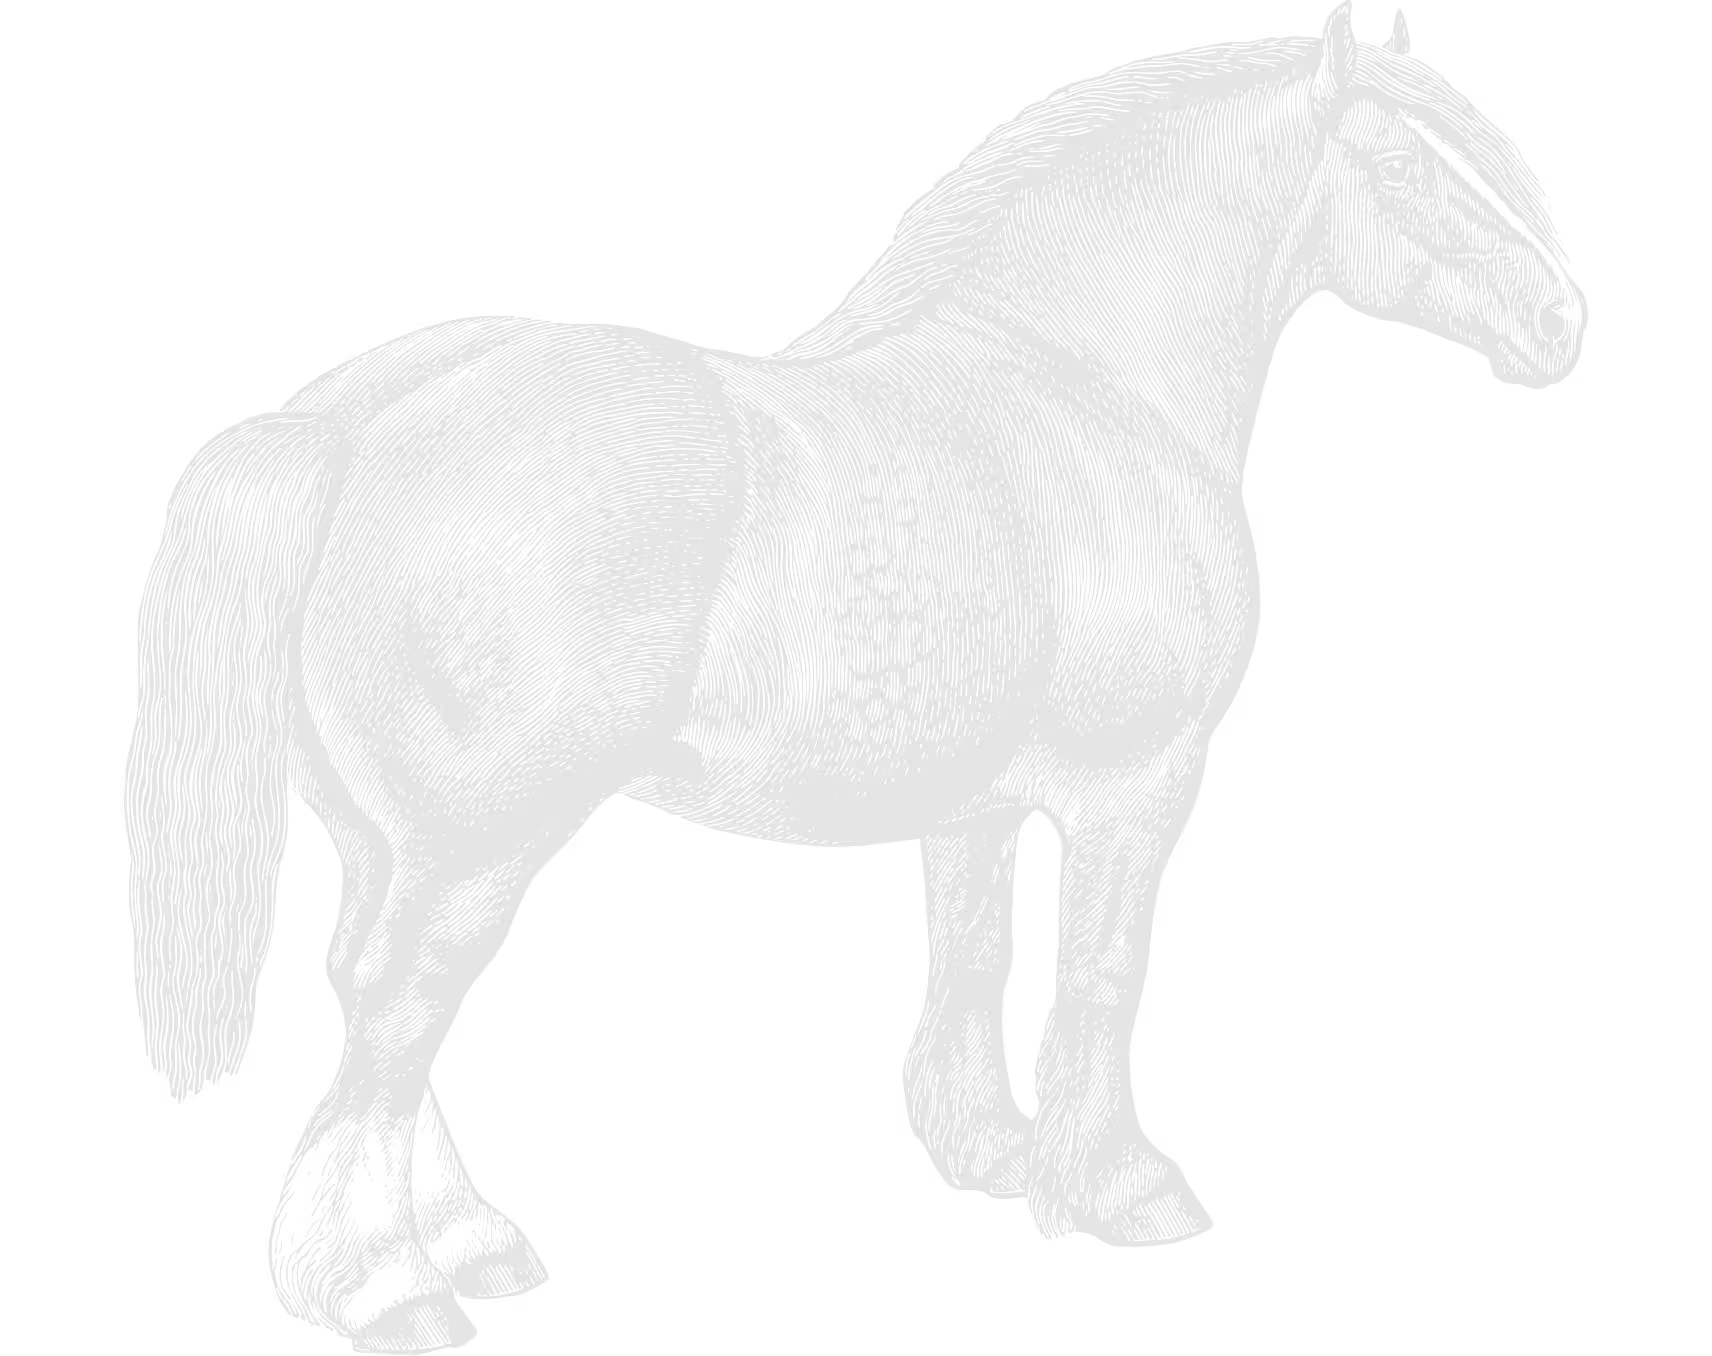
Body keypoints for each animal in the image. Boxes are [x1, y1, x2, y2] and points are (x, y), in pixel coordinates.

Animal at [125, 6, 1584, 1349]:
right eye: (1414, 153)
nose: (1559, 321)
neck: (1085, 388)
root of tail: (345, 422)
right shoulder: (1136, 783)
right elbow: (1098, 975)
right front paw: (1114, 1187)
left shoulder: (984, 803)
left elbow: (974, 951)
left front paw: (986, 1151)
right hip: (472, 852)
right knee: (391, 1021)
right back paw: (376, 1292)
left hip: (390, 846)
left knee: (374, 1013)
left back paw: (465, 1246)